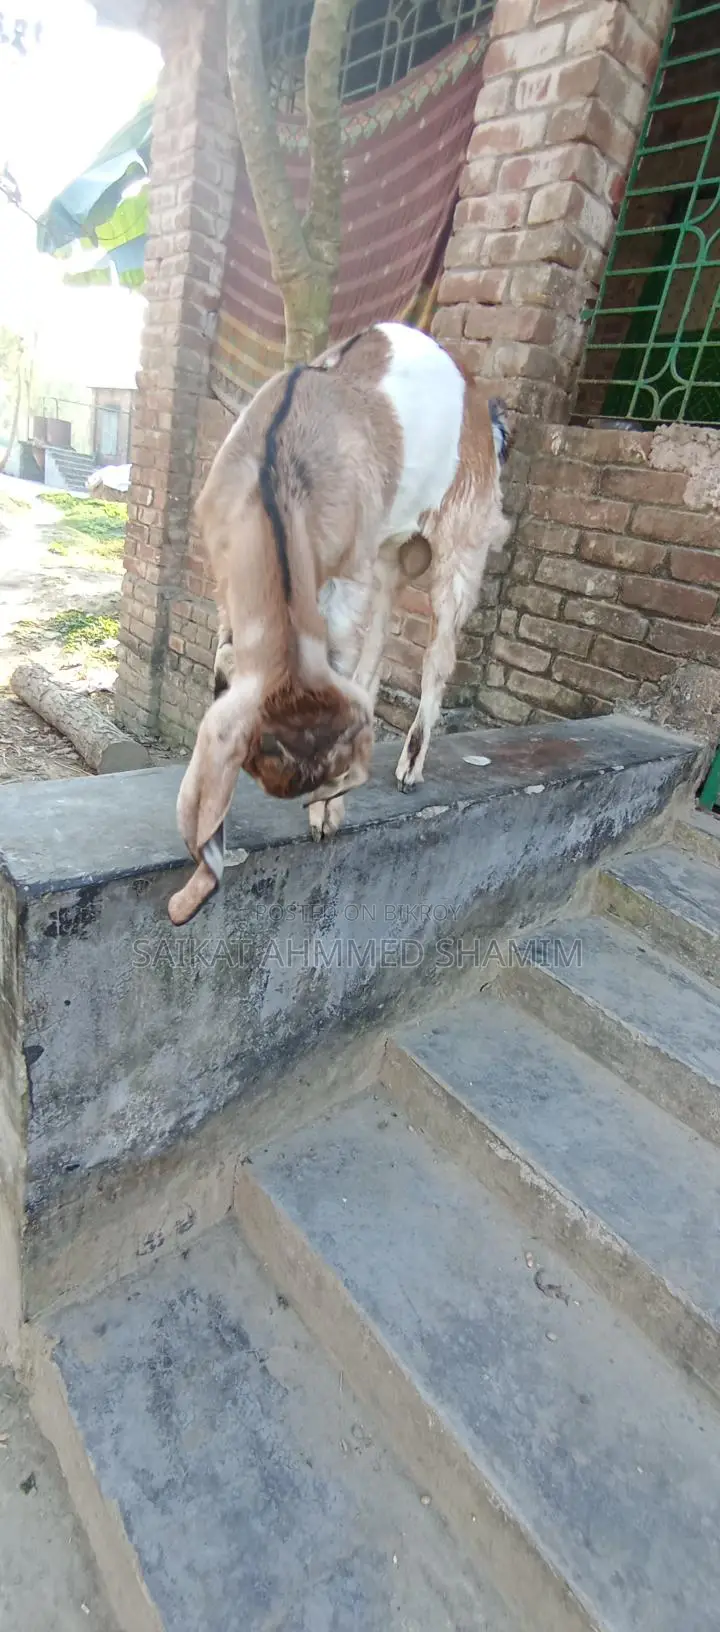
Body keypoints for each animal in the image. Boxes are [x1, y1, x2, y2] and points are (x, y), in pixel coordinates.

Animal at [168, 321, 510, 925]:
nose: (322, 800)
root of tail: (482, 408)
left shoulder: (348, 577)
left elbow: (347, 657)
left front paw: (327, 820)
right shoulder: (225, 580)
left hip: (462, 538)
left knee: (438, 653)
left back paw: (410, 766)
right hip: (391, 549)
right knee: (382, 641)